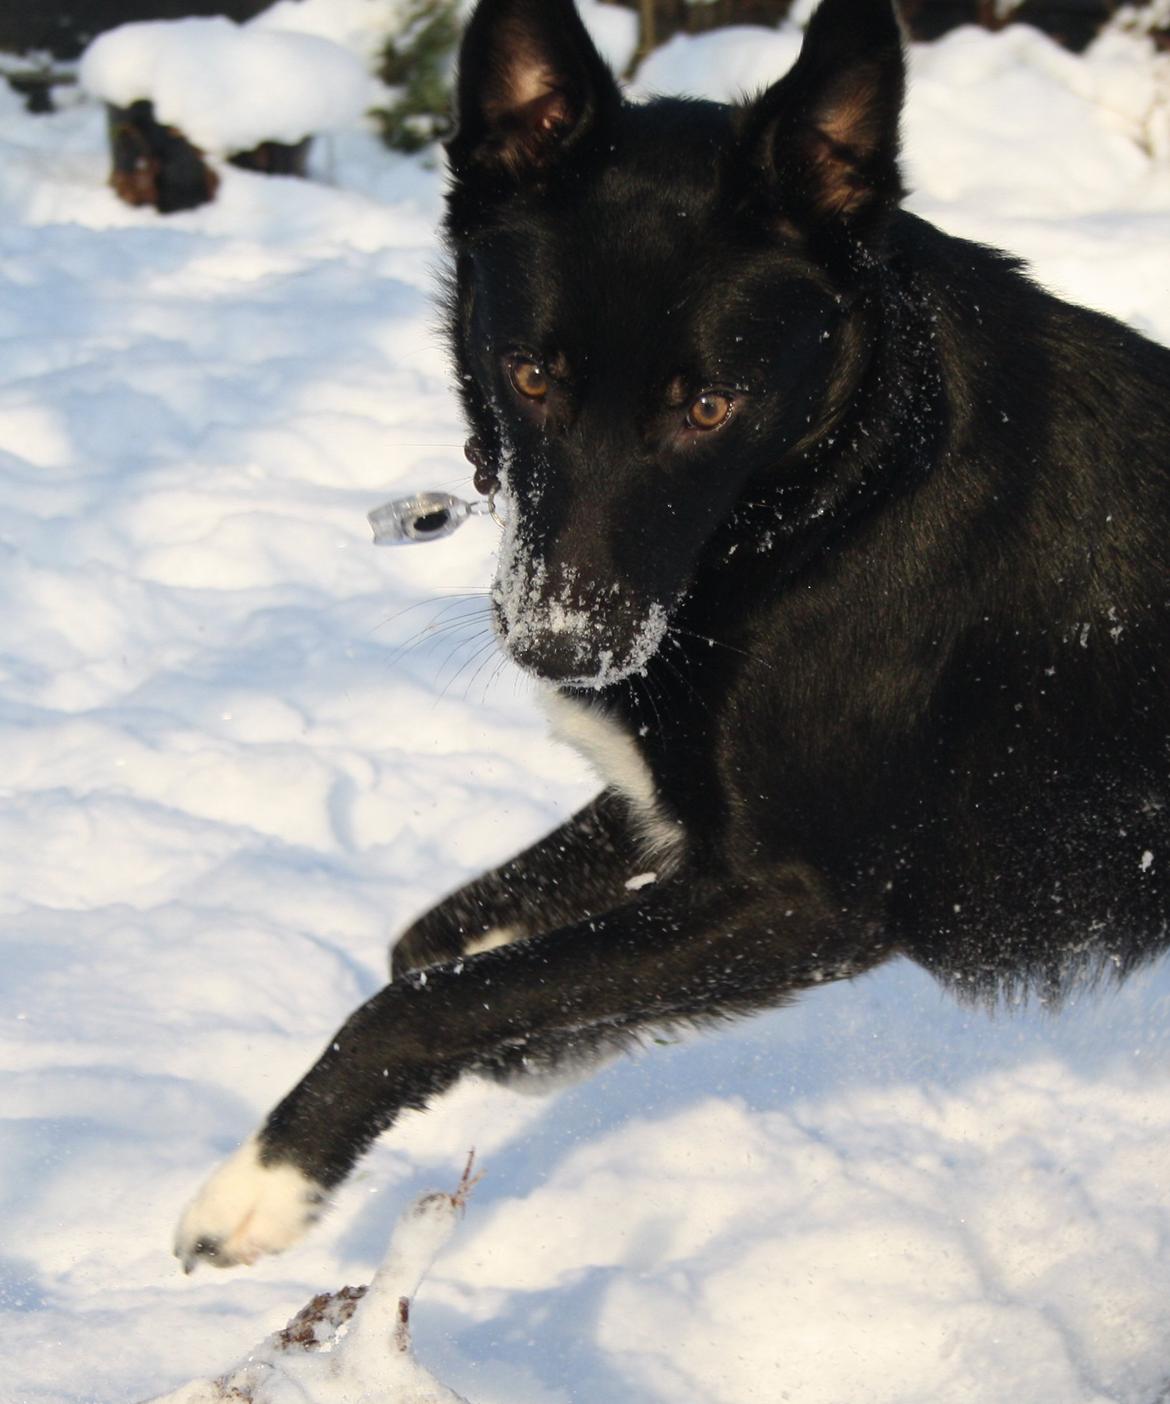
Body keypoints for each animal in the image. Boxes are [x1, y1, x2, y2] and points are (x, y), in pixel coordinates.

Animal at [175, 0, 1168, 1274]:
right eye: (530, 375)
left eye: (710, 407)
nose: (561, 647)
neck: (832, 491)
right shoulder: (669, 812)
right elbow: (449, 950)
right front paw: (533, 1049)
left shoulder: (801, 896)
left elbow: (430, 999)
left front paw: (264, 1182)